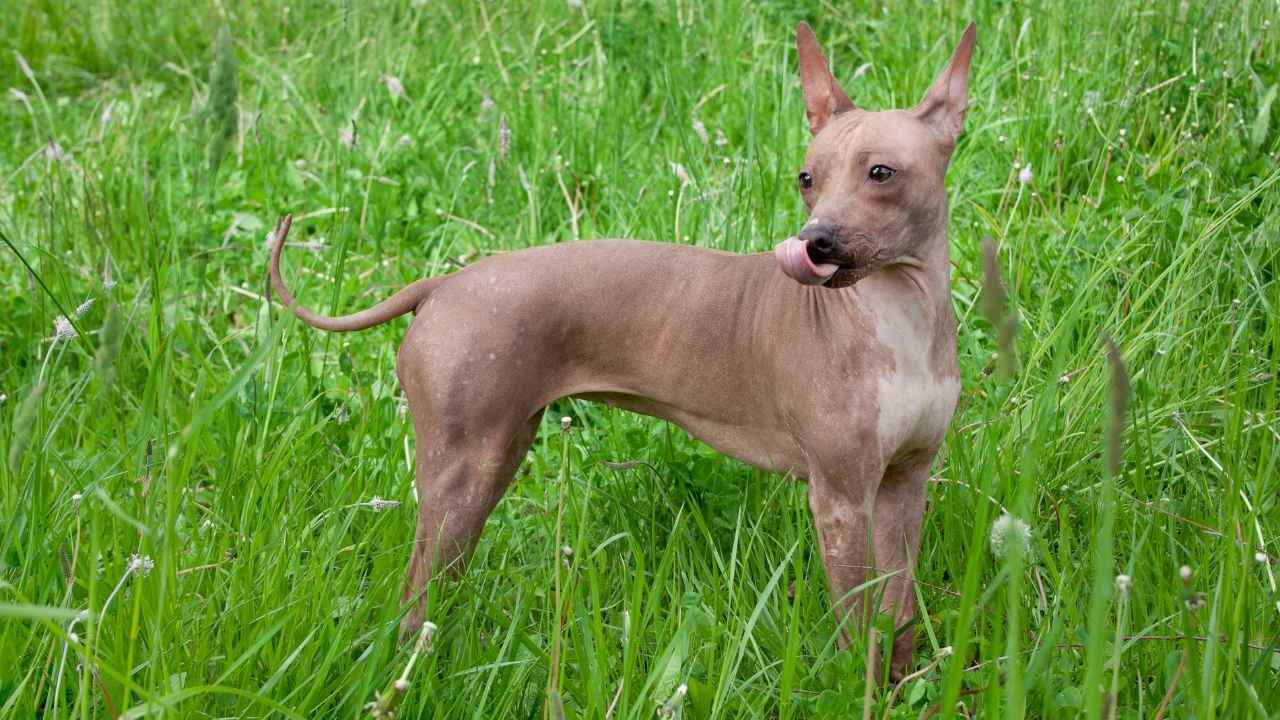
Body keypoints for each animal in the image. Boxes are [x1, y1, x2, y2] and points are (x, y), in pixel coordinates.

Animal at [267, 22, 967, 681]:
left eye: (881, 173)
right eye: (806, 179)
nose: (814, 241)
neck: (898, 316)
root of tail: (443, 283)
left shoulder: (903, 485)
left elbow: (899, 609)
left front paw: (905, 686)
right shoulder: (841, 499)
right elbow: (859, 625)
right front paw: (861, 691)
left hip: (494, 460)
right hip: (462, 473)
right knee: (417, 594)